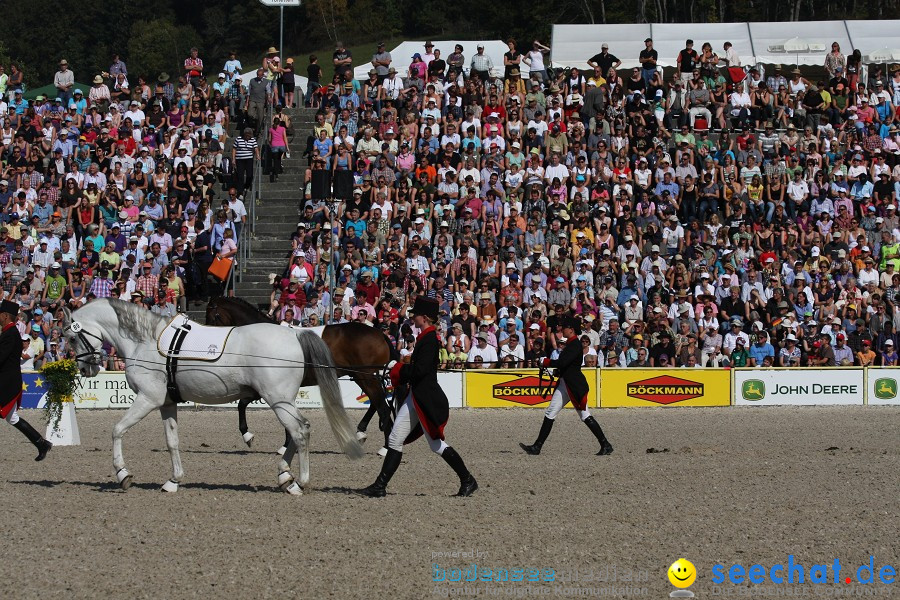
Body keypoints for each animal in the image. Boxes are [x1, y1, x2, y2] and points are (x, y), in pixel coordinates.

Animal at [61, 298, 364, 494]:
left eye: (72, 338)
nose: (86, 369)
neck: (145, 342)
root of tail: (295, 335)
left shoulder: (148, 399)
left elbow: (117, 430)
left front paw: (123, 474)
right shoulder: (166, 404)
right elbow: (172, 441)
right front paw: (173, 481)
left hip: (279, 401)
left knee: (300, 431)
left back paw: (298, 483)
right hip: (282, 402)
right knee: (298, 431)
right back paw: (284, 477)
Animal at [209, 298, 400, 452]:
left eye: (214, 316)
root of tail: (379, 333)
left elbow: (243, 404)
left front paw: (250, 436)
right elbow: (246, 405)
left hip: (365, 377)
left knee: (382, 407)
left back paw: (385, 447)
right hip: (364, 376)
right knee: (376, 403)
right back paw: (363, 433)